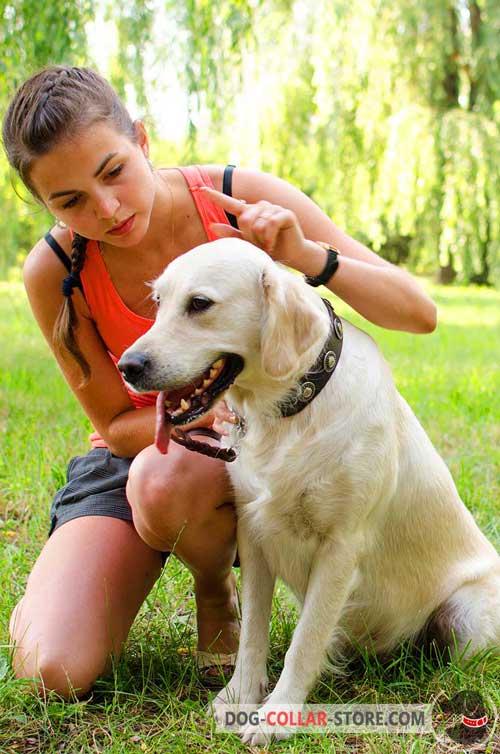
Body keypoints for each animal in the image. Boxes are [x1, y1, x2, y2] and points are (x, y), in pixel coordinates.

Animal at [118, 239, 500, 740]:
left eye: (199, 304)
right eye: (159, 303)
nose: (127, 366)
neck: (290, 409)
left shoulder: (340, 547)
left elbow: (306, 639)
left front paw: (276, 716)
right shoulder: (254, 534)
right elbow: (252, 633)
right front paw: (240, 695)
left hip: (466, 617)